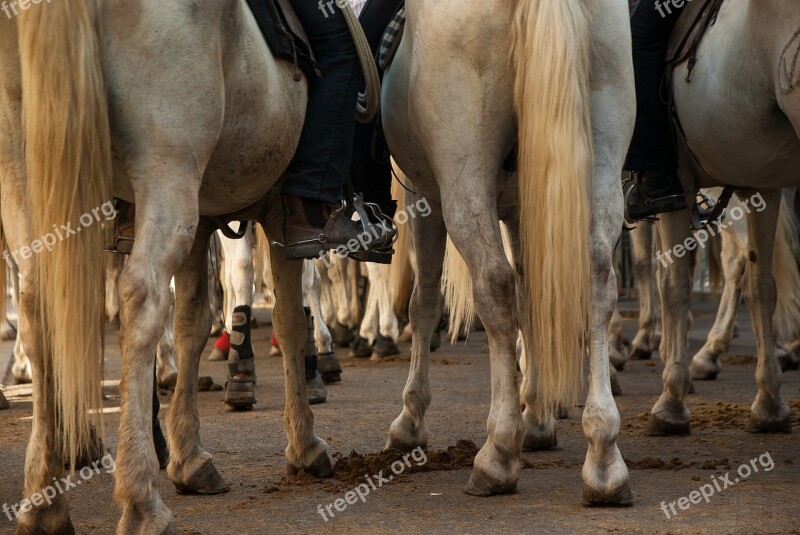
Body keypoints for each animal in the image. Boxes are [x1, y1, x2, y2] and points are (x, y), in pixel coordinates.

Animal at [384, 0, 636, 502]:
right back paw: (603, 456)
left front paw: (411, 421)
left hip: (462, 174)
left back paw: (497, 454)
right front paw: (537, 416)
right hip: (600, 153)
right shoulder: (526, 205)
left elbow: (425, 303)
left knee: (494, 286)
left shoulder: (424, 197)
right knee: (596, 279)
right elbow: (533, 297)